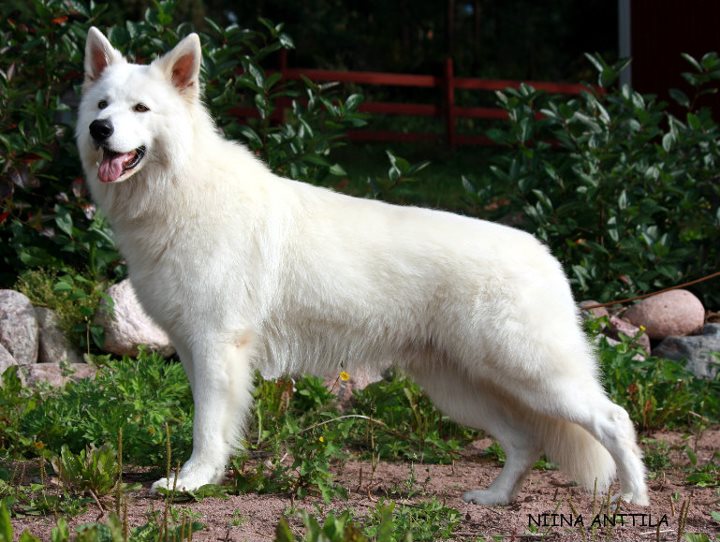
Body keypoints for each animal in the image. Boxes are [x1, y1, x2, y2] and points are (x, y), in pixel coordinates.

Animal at [76, 28, 649, 506]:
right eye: (102, 104)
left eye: (141, 108)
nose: (100, 129)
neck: (180, 189)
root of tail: (544, 253)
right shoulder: (196, 350)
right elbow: (211, 424)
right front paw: (204, 477)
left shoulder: (217, 346)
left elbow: (206, 427)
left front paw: (192, 481)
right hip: (462, 389)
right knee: (526, 441)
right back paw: (492, 499)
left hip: (532, 374)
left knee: (614, 419)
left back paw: (633, 498)